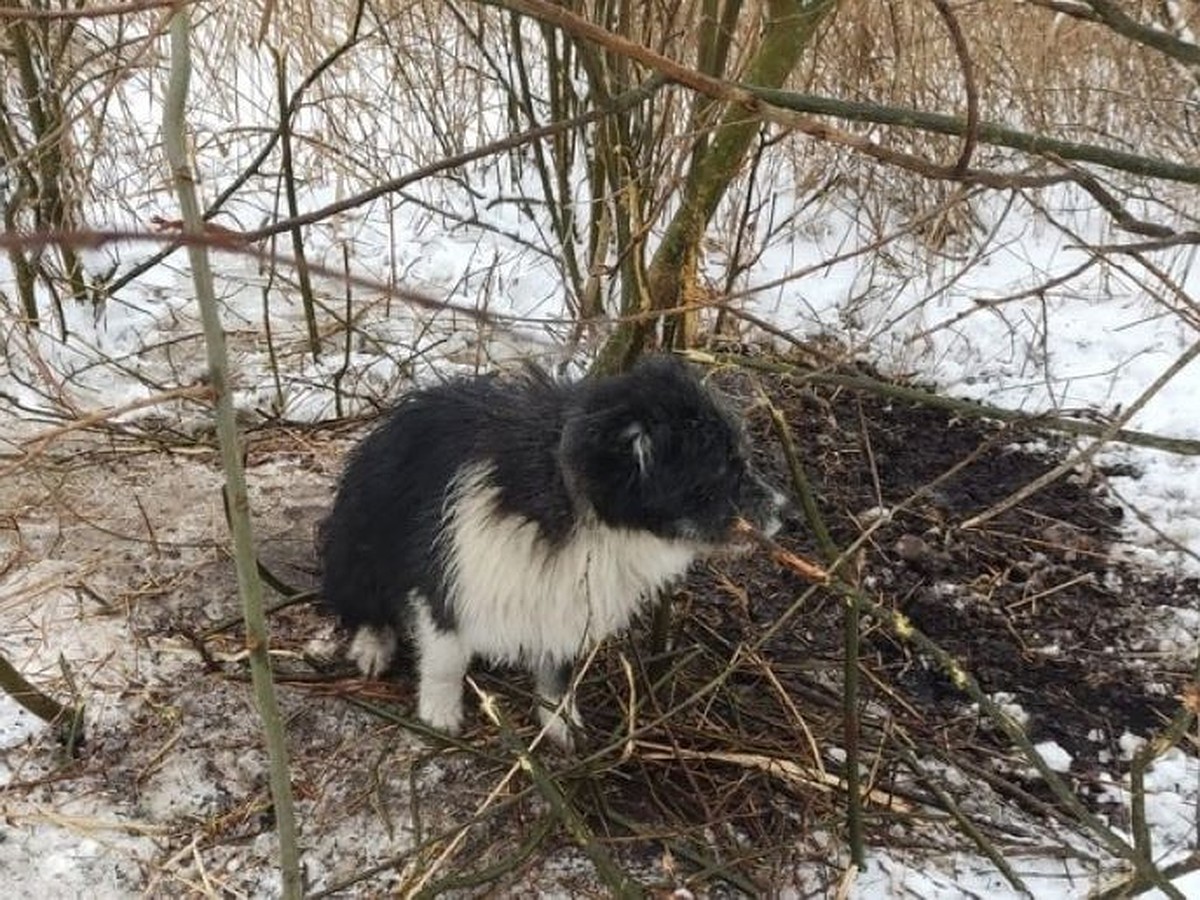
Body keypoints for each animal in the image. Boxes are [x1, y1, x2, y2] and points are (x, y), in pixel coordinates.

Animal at [319, 357, 787, 748]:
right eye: (722, 472)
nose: (788, 513)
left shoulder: (567, 602)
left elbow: (558, 678)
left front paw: (561, 726)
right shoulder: (449, 581)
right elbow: (446, 659)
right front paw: (439, 715)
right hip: (357, 544)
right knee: (362, 604)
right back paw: (372, 645)